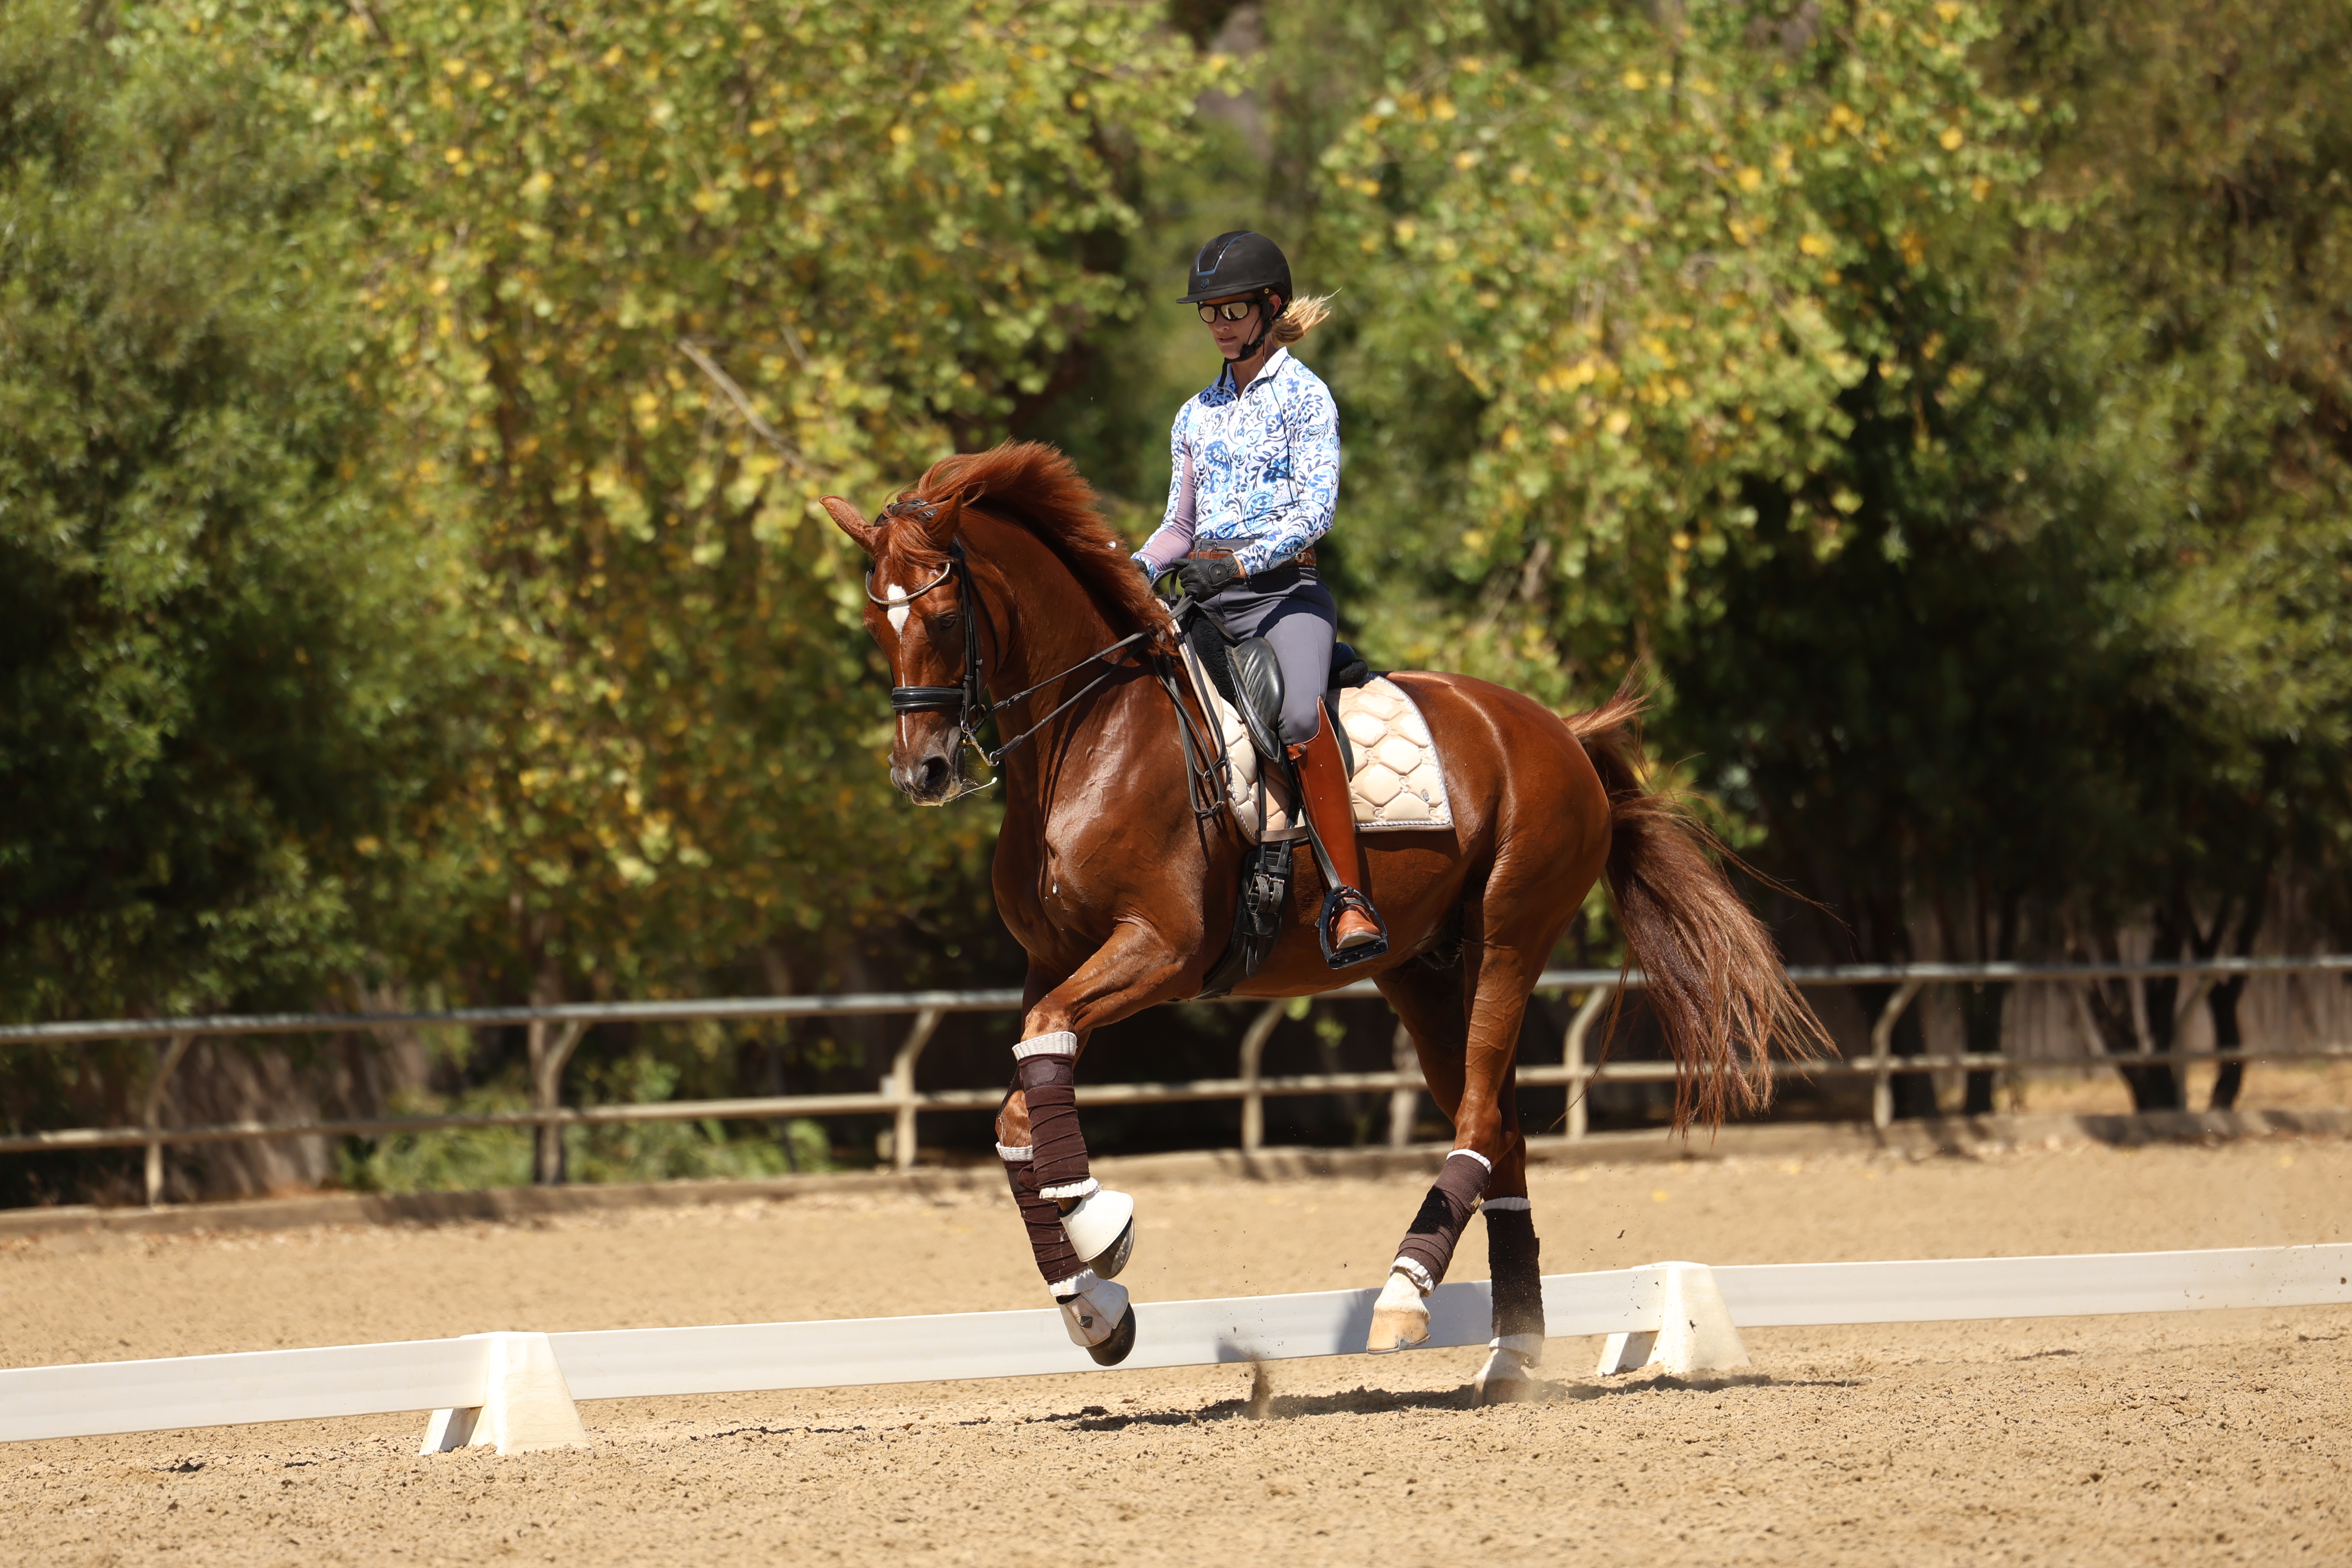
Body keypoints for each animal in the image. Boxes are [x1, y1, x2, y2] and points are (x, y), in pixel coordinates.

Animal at [821, 441, 1825, 1400]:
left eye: (943, 620)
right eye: (875, 626)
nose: (923, 773)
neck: (1091, 737)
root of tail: (1559, 733)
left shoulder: (1161, 951)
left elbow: (1040, 1065)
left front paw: (1104, 1223)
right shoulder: (1057, 962)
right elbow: (1023, 1102)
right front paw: (1096, 1306)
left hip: (1510, 937)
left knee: (1477, 1116)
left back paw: (1404, 1298)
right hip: (1421, 972)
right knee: (1499, 1129)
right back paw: (1508, 1356)